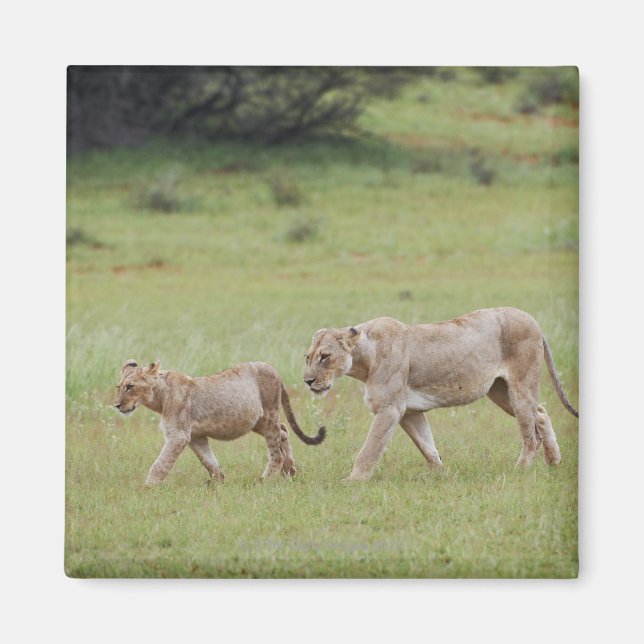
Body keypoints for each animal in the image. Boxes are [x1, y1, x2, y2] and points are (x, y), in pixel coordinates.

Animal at [113, 360, 325, 486]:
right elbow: (209, 461)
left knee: (276, 451)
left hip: (268, 414)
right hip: (258, 421)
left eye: (130, 386)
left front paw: (147, 489)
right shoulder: (195, 436)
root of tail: (274, 370)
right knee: (283, 431)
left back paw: (265, 480)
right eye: (119, 387)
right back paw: (290, 470)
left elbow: (160, 464)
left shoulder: (178, 436)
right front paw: (219, 483)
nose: (116, 405)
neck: (159, 397)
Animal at [304, 307, 578, 481]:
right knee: (541, 413)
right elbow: (427, 446)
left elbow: (369, 449)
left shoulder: (389, 409)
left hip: (520, 388)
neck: (364, 359)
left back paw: (519, 470)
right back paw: (554, 462)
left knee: (531, 436)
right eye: (307, 357)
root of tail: (533, 321)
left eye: (325, 356)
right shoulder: (410, 412)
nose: (307, 381)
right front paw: (440, 475)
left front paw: (353, 481)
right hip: (500, 392)